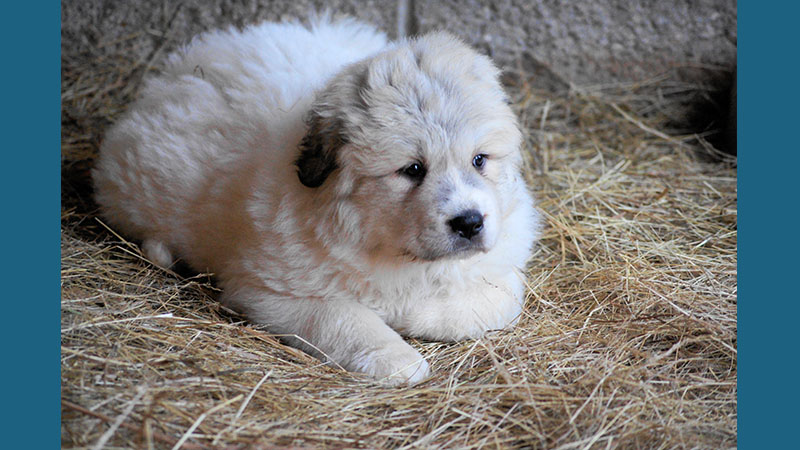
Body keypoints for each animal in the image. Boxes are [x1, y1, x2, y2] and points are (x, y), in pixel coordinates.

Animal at [95, 16, 544, 384]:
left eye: (479, 160)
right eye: (413, 169)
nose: (469, 222)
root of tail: (179, 68)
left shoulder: (502, 272)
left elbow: (480, 304)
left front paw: (406, 312)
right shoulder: (272, 292)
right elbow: (342, 317)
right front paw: (395, 356)